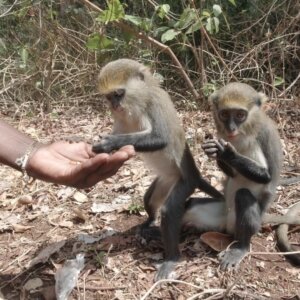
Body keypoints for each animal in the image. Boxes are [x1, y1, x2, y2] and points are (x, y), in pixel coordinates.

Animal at [92, 58, 224, 278]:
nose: (115, 105)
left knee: (169, 212)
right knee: (149, 198)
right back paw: (148, 222)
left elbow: (160, 138)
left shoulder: (154, 103)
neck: (137, 103)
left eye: (119, 94)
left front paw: (110, 144)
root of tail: (195, 174)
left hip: (184, 183)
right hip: (166, 180)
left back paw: (172, 258)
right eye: (109, 97)